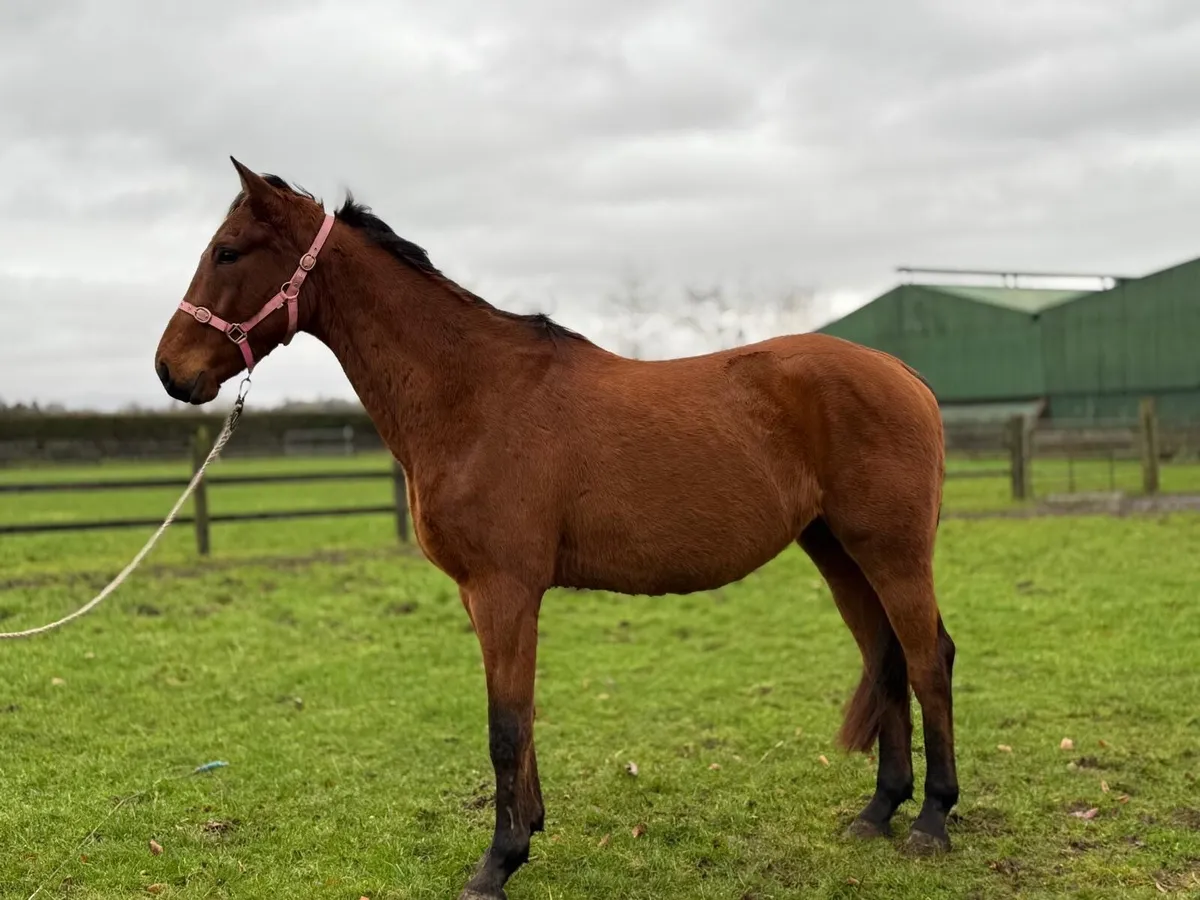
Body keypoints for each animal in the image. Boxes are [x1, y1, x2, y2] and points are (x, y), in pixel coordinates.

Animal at [153, 158, 959, 900]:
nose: (169, 371)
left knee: (928, 659)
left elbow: (505, 724)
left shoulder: (505, 589)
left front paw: (496, 864)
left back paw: (932, 821)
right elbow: (523, 714)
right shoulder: (483, 595)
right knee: (885, 658)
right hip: (838, 552)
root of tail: (905, 375)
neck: (474, 396)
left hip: (891, 553)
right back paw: (878, 812)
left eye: (228, 251)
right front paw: (528, 831)